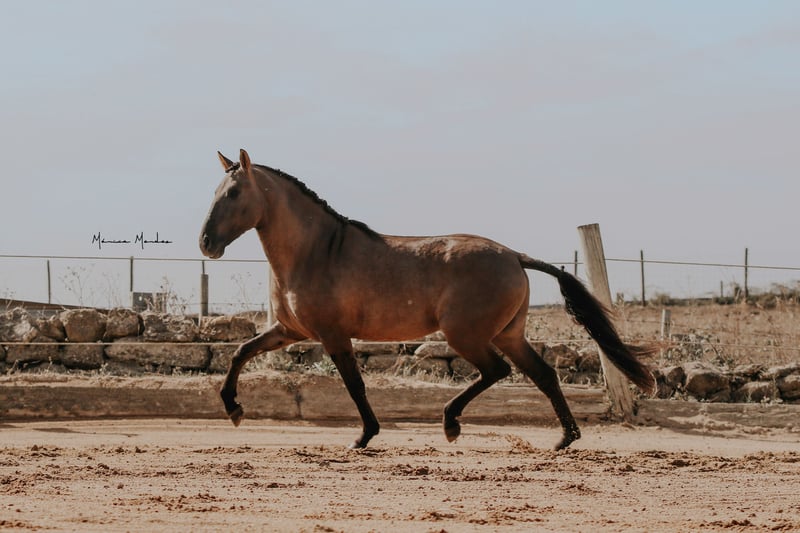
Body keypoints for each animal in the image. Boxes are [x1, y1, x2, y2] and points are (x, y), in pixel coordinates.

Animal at [199, 149, 656, 450]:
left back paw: (452, 423)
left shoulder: (333, 335)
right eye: (217, 190)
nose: (206, 243)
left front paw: (364, 435)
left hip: (465, 336)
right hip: (508, 334)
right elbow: (240, 352)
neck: (316, 251)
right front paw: (233, 408)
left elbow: (354, 384)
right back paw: (564, 438)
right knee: (542, 374)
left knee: (498, 371)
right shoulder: (289, 330)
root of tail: (514, 255)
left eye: (234, 193)